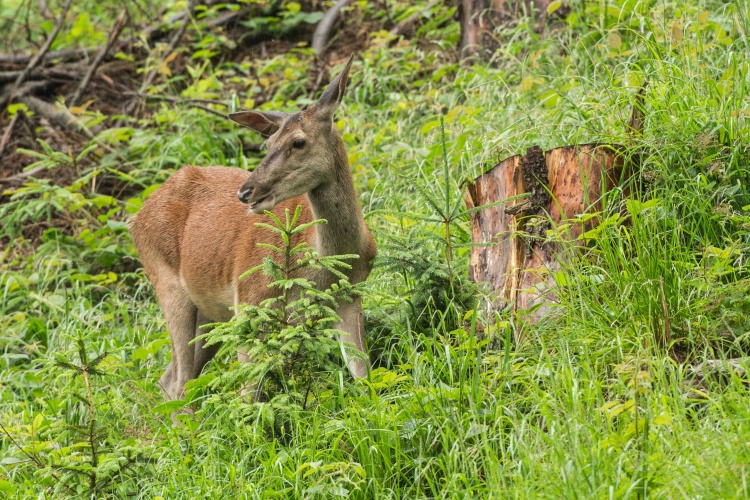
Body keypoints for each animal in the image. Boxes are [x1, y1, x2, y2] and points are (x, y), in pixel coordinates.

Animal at [130, 54, 378, 400]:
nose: (246, 192)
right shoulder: (250, 301)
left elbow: (363, 374)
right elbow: (251, 393)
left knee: (173, 377)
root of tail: (135, 218)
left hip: (211, 311)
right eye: (268, 143)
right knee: (179, 381)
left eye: (298, 142)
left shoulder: (349, 297)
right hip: (167, 284)